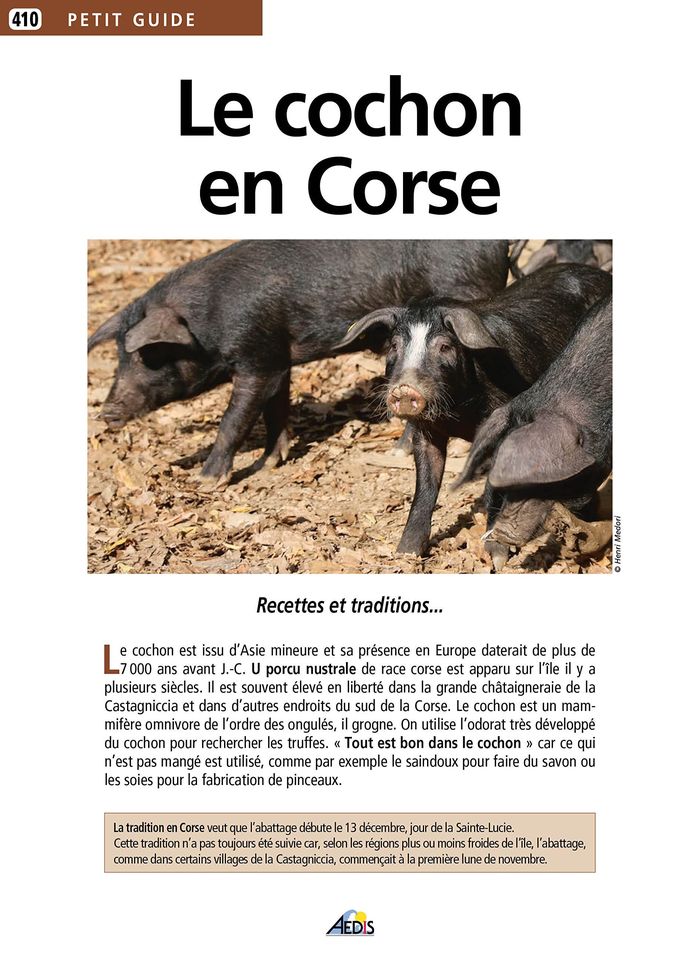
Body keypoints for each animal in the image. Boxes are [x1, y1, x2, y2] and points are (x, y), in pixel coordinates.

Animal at [88, 240, 510, 487]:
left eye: (147, 356)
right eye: (120, 355)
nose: (106, 413)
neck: (209, 323)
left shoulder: (256, 356)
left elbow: (234, 418)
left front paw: (205, 482)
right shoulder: (277, 359)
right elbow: (275, 407)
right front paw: (271, 461)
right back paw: (399, 451)